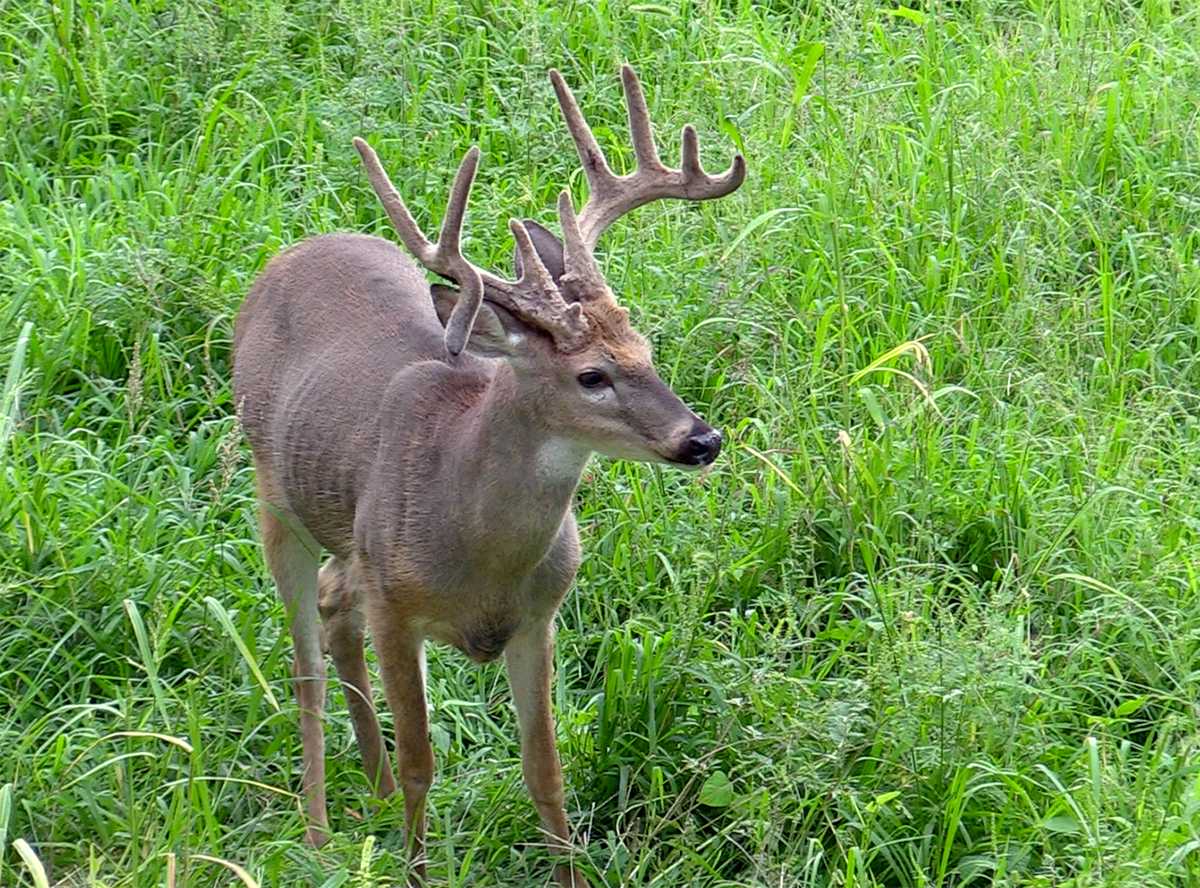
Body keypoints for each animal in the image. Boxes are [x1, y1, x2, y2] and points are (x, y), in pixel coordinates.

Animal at [230, 64, 744, 888]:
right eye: (591, 376)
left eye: (646, 348)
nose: (702, 439)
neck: (476, 550)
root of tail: (291, 253)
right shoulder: (396, 609)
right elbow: (422, 765)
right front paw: (413, 869)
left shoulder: (540, 616)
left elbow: (546, 772)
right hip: (274, 497)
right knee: (305, 659)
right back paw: (316, 831)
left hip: (348, 534)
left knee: (336, 605)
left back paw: (369, 793)